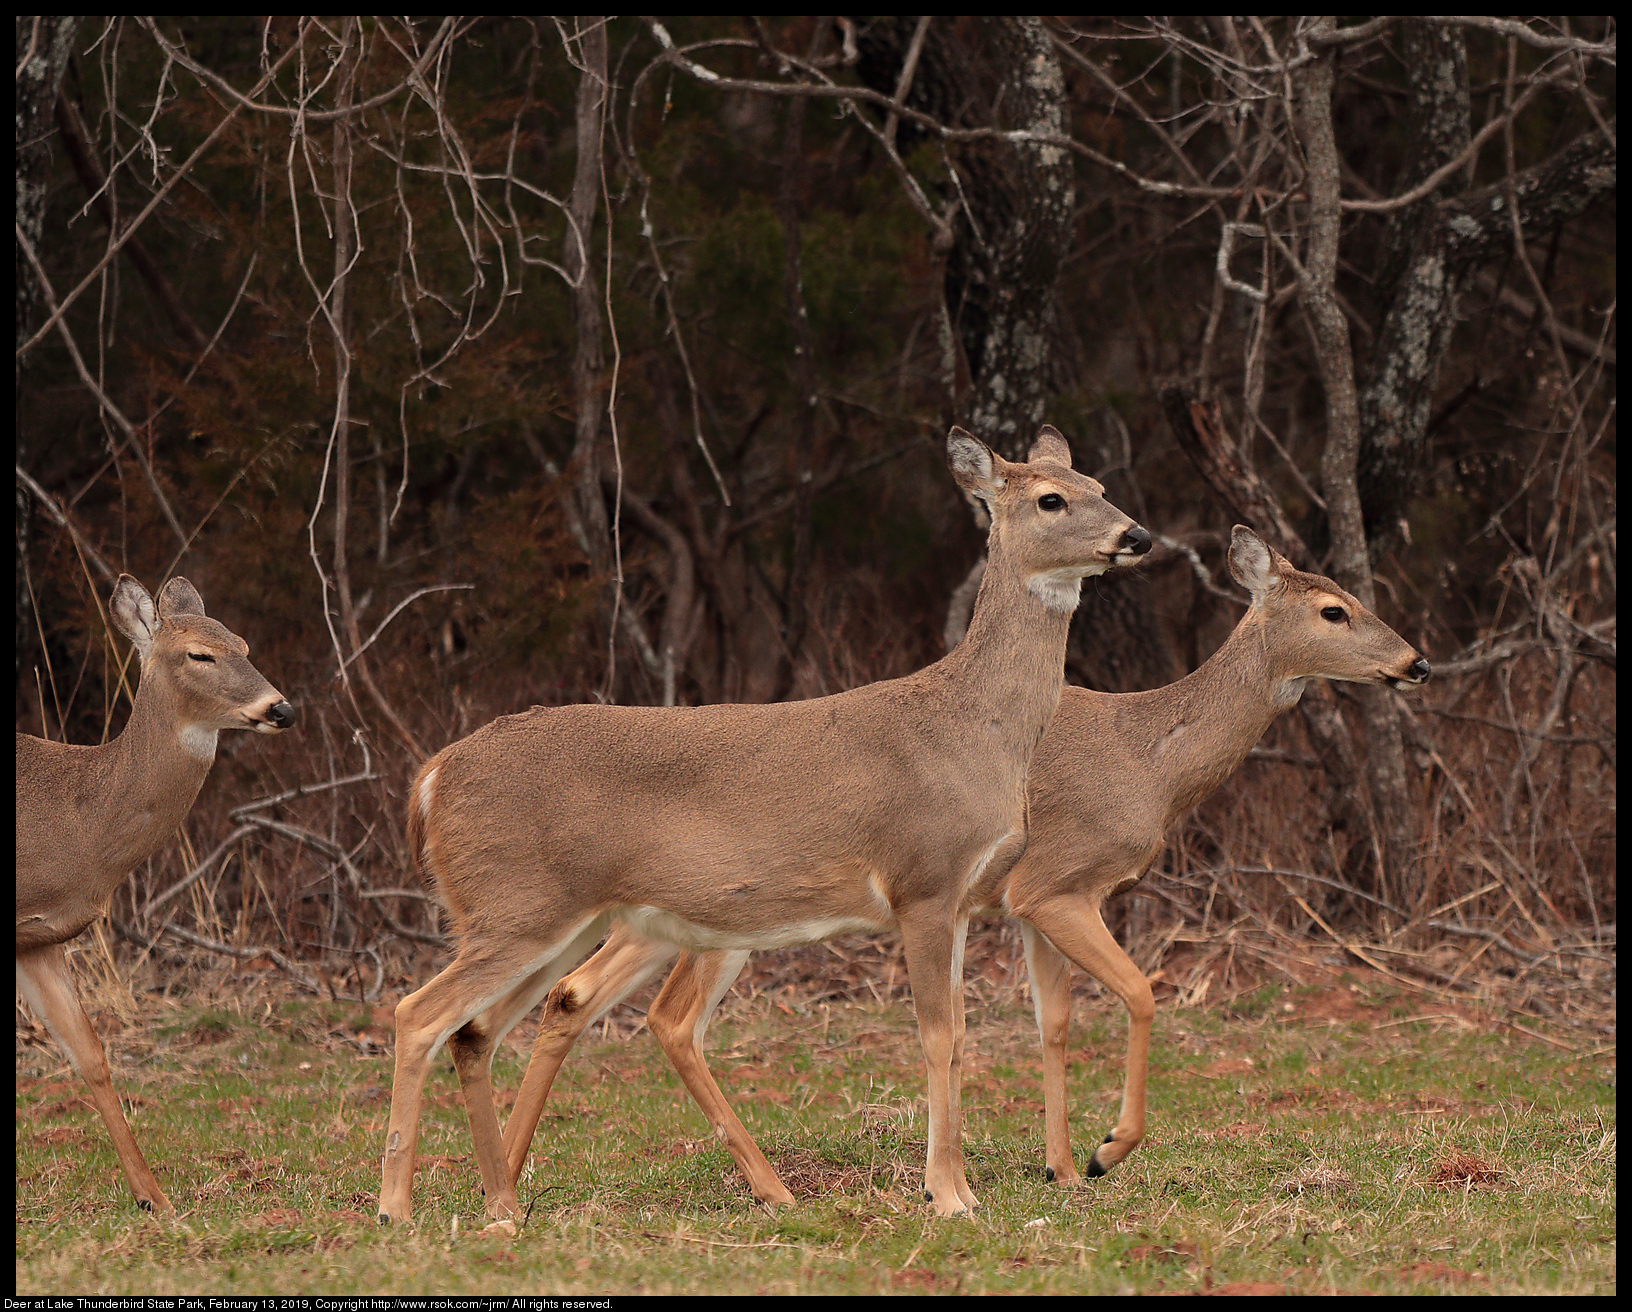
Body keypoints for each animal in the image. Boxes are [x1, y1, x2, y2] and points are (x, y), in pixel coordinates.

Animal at [15, 574, 297, 1207]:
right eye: (199, 654)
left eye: (242, 644)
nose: (281, 708)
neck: (76, 820)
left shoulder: (39, 937)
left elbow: (90, 1054)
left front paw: (155, 1198)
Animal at [376, 424, 1155, 1227]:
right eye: (1051, 498)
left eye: (1099, 485)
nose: (1138, 535)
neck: (977, 732)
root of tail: (431, 779)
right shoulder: (922, 880)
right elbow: (938, 1036)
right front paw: (948, 1194)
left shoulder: (966, 899)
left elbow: (961, 1037)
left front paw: (966, 1186)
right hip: (518, 905)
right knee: (417, 1013)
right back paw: (395, 1206)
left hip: (550, 919)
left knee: (476, 1030)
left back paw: (501, 1202)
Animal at [492, 522, 1429, 1201]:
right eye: (1335, 610)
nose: (1416, 662)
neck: (1149, 760)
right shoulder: (1055, 885)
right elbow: (1137, 992)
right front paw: (1106, 1151)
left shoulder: (1027, 909)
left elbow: (1054, 1025)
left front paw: (1062, 1168)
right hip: (718, 917)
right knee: (653, 1011)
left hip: (663, 916)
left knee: (579, 994)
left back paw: (510, 1174)